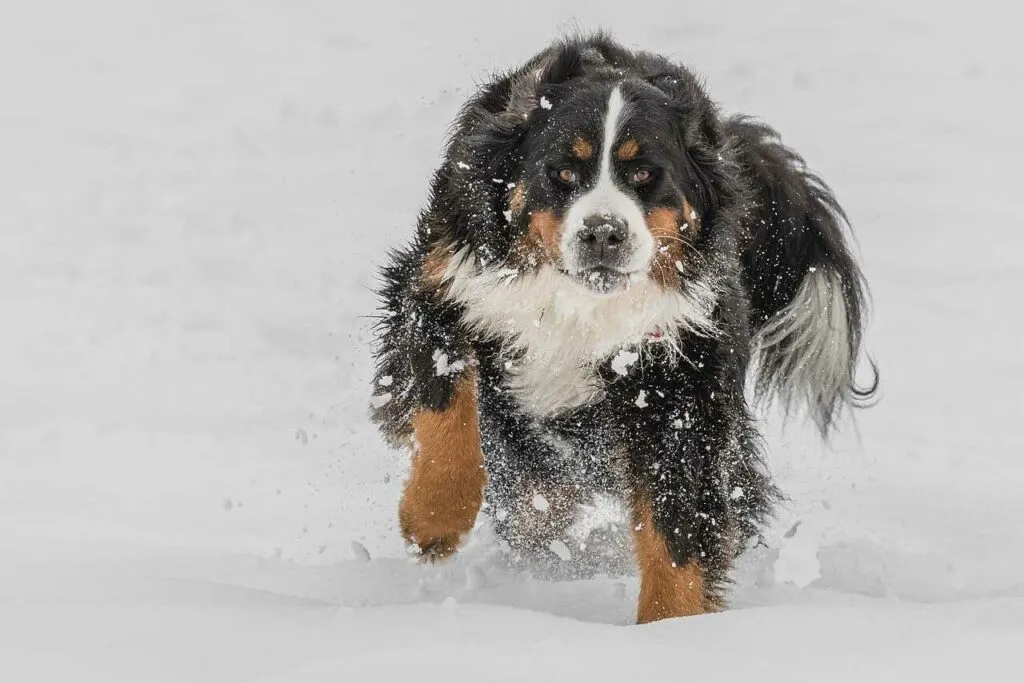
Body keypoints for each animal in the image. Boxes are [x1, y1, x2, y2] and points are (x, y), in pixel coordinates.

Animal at [372, 36, 876, 626]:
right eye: (564, 173)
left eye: (644, 175)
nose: (603, 232)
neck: (578, 306)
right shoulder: (442, 287)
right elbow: (445, 405)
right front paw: (433, 519)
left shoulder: (677, 383)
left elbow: (677, 527)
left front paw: (670, 628)